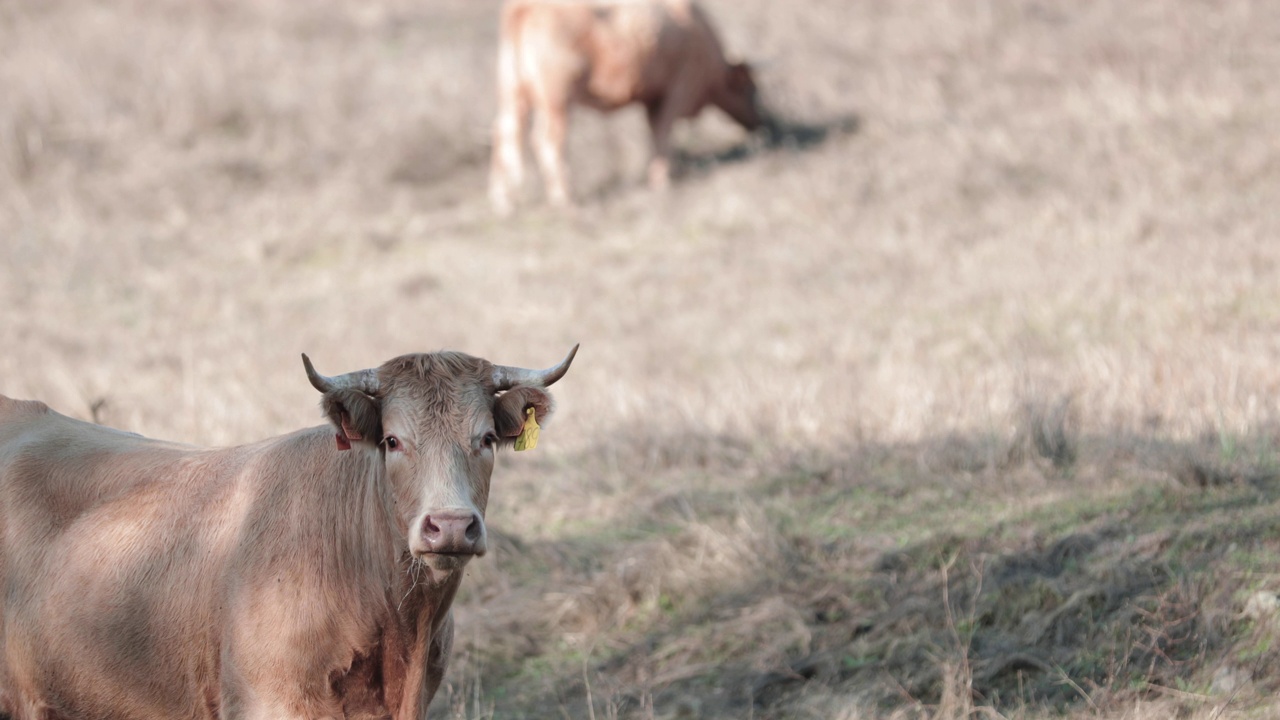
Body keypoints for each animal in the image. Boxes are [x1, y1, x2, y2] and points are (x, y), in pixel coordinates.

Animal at [483, 0, 773, 212]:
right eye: (751, 90)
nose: (760, 122)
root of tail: (523, 8)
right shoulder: (675, 93)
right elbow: (662, 133)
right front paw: (661, 180)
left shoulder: (653, 99)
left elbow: (655, 133)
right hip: (556, 98)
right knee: (548, 140)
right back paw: (565, 198)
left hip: (511, 91)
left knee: (504, 132)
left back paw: (503, 202)